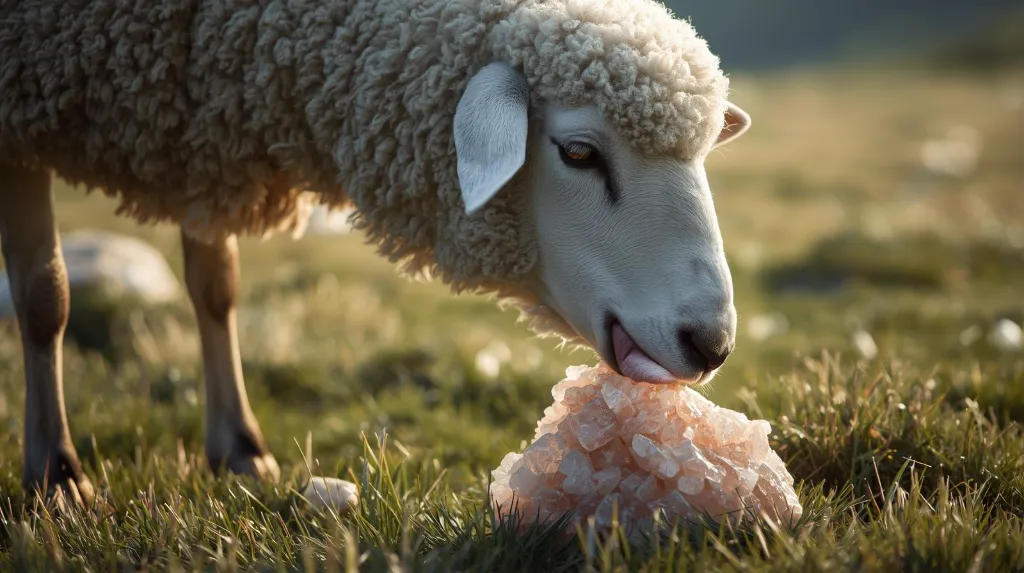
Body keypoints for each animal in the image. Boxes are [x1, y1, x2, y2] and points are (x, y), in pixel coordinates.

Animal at [0, 0, 752, 507]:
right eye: (578, 152)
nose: (711, 343)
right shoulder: (21, 116)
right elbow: (45, 296)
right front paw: (56, 475)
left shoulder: (201, 137)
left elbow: (216, 286)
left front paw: (240, 449)